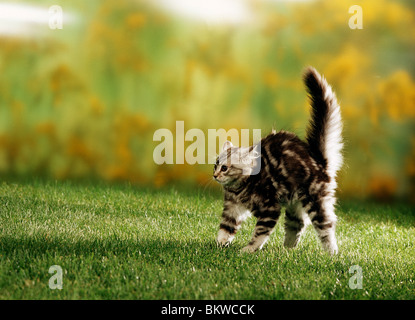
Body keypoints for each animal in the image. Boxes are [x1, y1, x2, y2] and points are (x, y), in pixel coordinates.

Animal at [214, 67, 344, 255]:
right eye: (215, 165)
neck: (239, 189)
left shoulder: (270, 208)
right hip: (294, 204)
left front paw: (249, 249)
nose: (215, 175)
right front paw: (220, 244)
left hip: (315, 199)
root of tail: (318, 160)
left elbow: (260, 232)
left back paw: (331, 252)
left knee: (326, 225)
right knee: (298, 224)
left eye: (224, 168)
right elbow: (226, 227)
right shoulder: (232, 208)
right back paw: (287, 250)